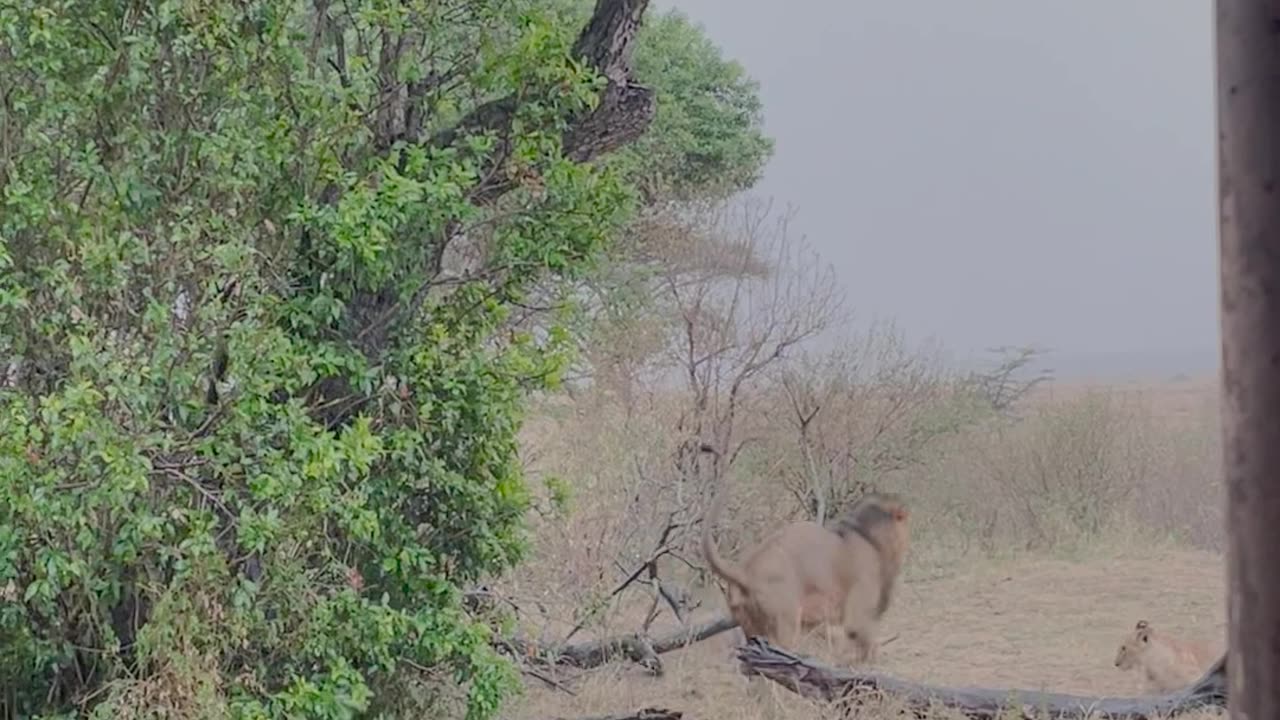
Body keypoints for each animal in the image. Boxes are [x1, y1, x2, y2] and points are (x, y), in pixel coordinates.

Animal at [701, 486, 911, 661]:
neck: (868, 536)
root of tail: (744, 571)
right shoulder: (859, 615)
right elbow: (868, 648)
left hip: (751, 630)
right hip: (784, 626)